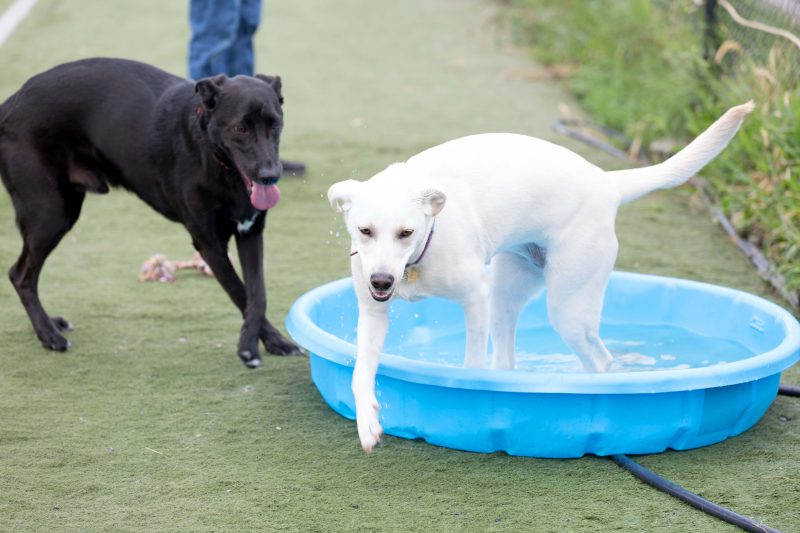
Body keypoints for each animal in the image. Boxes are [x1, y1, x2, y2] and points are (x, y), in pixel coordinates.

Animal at [0, 57, 304, 366]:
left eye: (275, 124)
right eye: (240, 129)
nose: (270, 175)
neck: (217, 163)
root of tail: (11, 102)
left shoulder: (250, 232)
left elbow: (258, 294)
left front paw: (275, 342)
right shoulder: (210, 245)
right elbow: (239, 292)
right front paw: (249, 348)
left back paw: (52, 324)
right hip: (52, 215)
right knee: (20, 275)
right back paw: (48, 334)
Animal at [328, 102, 752, 450]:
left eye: (406, 232)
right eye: (364, 230)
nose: (382, 281)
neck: (417, 258)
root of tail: (607, 182)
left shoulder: (475, 299)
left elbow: (470, 365)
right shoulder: (373, 313)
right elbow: (360, 372)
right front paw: (367, 422)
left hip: (567, 307)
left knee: (600, 361)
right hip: (506, 294)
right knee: (507, 363)